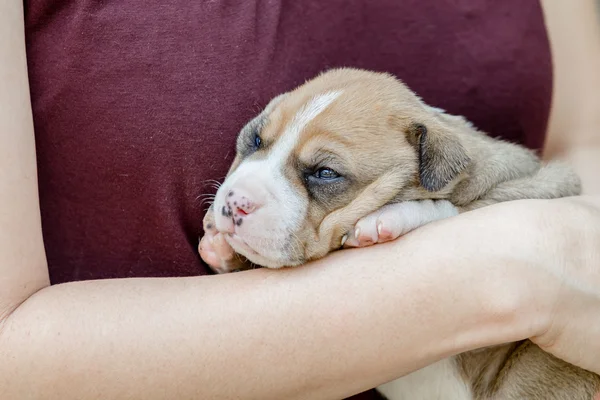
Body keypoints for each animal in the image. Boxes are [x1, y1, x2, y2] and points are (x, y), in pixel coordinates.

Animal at [199, 67, 596, 398]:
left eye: (325, 173)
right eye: (255, 140)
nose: (235, 202)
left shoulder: (543, 186)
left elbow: (448, 209)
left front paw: (385, 219)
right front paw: (221, 247)